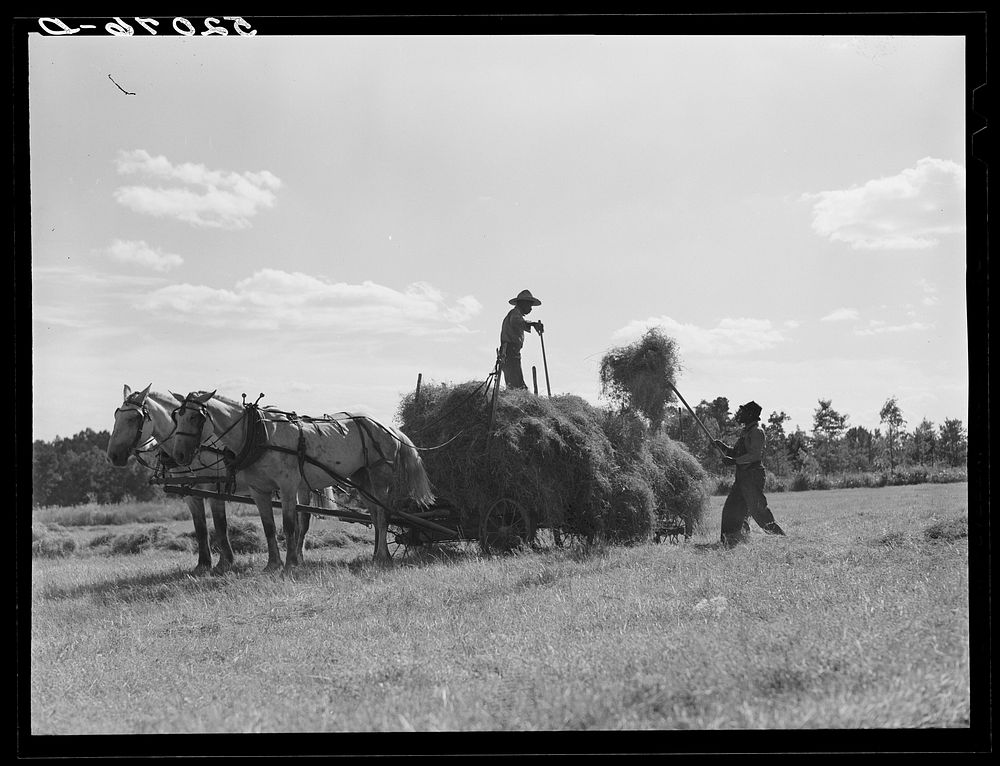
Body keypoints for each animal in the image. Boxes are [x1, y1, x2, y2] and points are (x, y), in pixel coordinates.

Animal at [106, 388, 316, 572]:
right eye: (116, 416)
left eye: (134, 418)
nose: (112, 456)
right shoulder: (190, 494)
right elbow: (201, 528)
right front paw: (204, 564)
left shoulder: (215, 490)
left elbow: (220, 525)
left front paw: (225, 562)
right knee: (300, 520)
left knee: (303, 520)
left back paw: (298, 558)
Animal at [168, 392, 434, 568]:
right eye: (177, 416)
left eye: (195, 418)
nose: (178, 455)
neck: (258, 434)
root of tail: (387, 427)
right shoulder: (259, 490)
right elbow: (269, 527)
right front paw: (273, 564)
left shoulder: (287, 487)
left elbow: (290, 525)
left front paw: (290, 563)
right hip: (361, 478)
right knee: (374, 514)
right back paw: (379, 555)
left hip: (379, 476)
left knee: (382, 515)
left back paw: (380, 556)